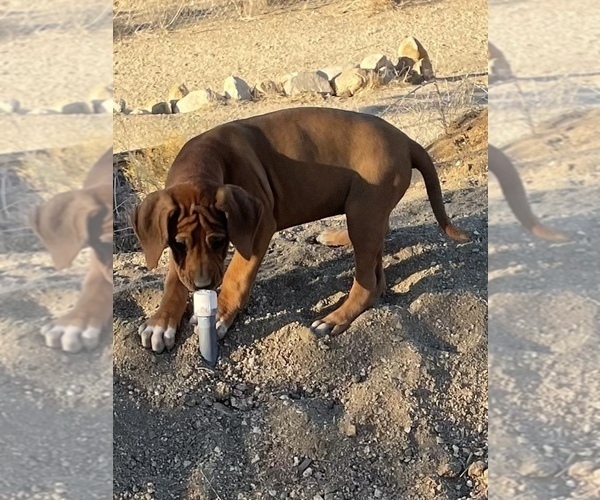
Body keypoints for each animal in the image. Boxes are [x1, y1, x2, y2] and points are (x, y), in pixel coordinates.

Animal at [131, 107, 468, 354]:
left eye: (219, 241)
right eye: (179, 243)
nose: (202, 286)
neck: (204, 160)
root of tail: (406, 140)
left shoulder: (258, 226)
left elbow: (236, 274)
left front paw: (221, 314)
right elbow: (174, 279)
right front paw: (161, 321)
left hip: (363, 209)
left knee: (368, 280)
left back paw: (335, 318)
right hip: (368, 211)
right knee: (379, 258)